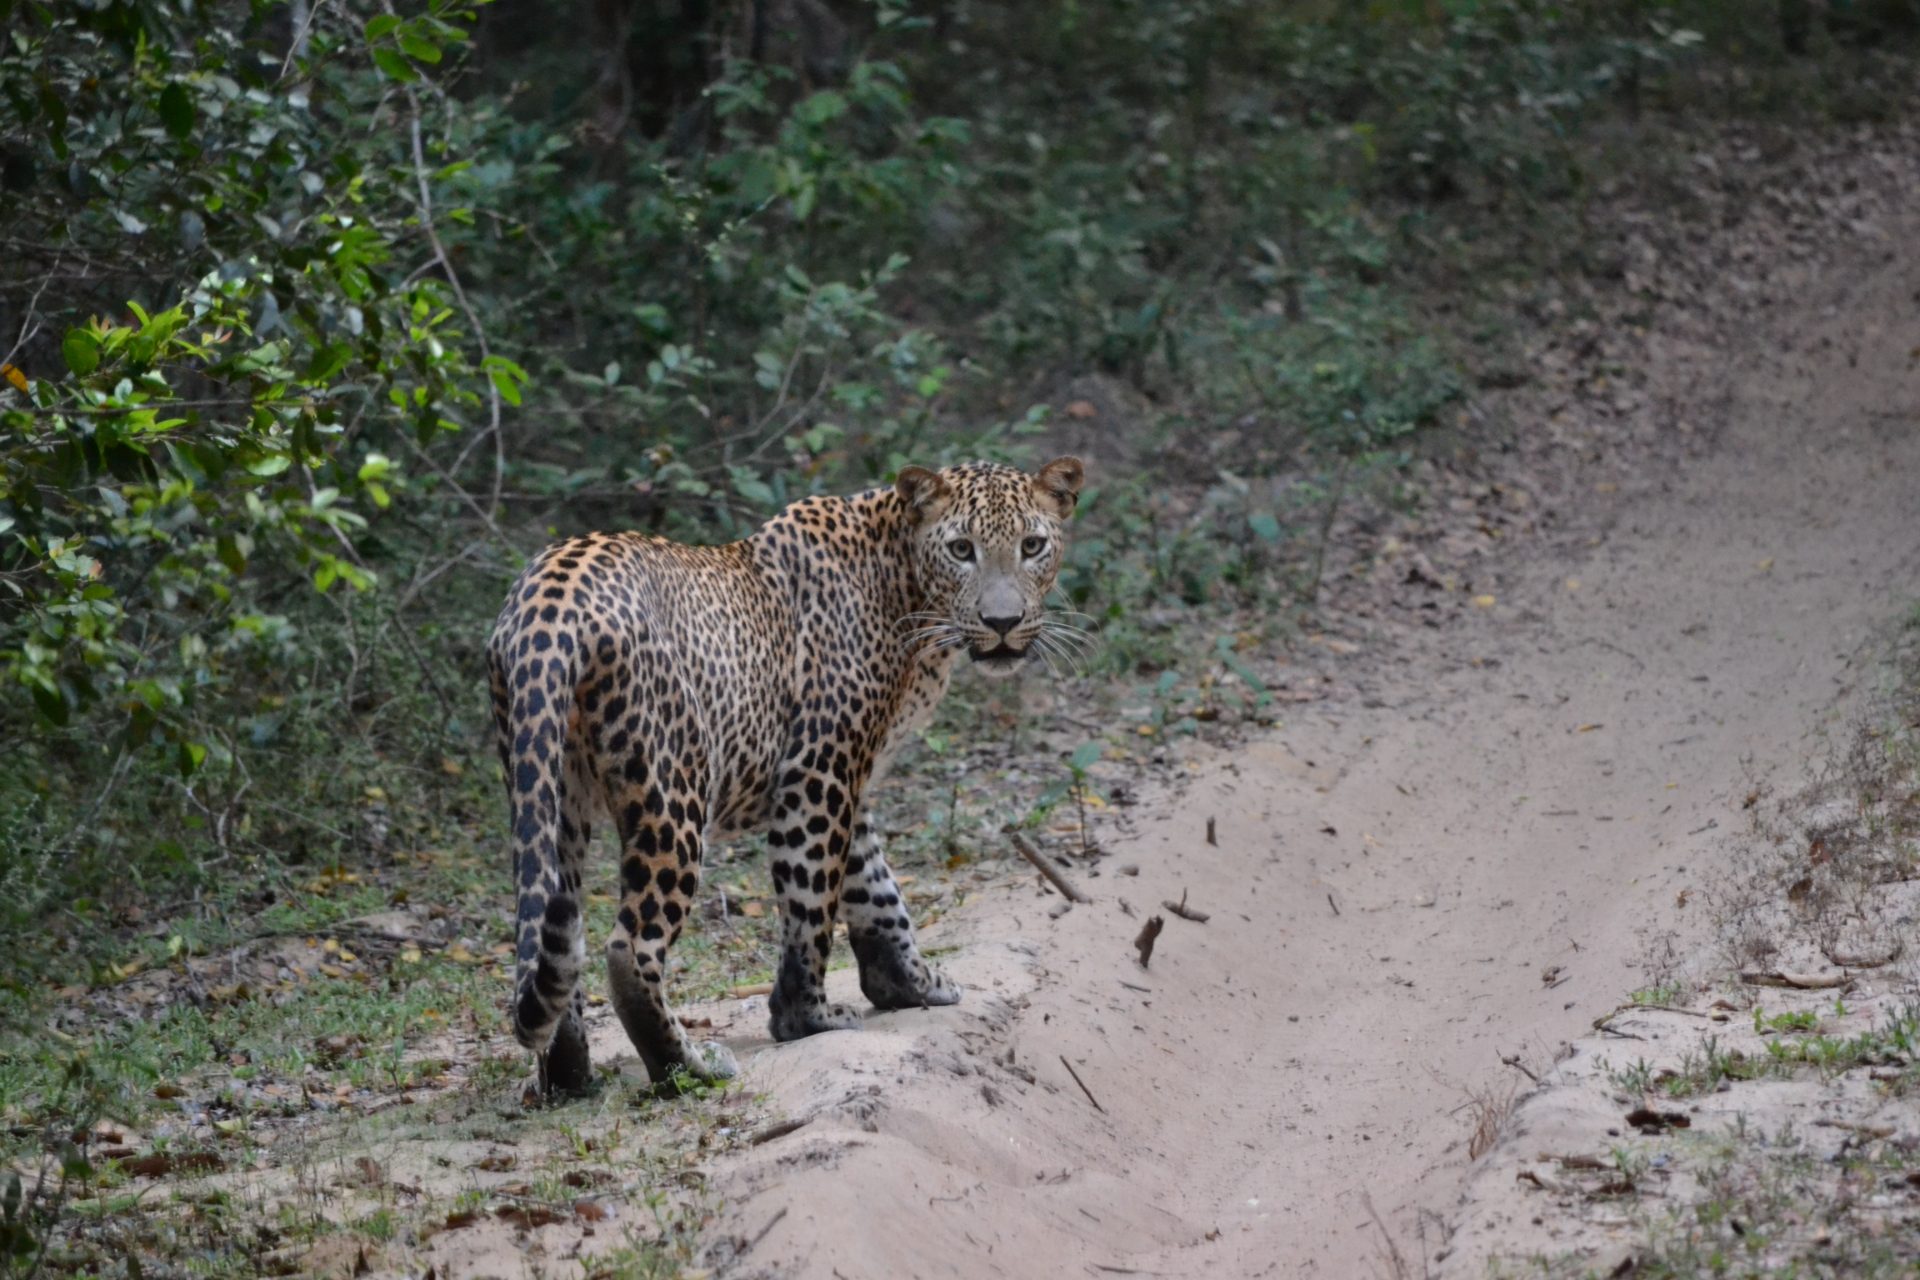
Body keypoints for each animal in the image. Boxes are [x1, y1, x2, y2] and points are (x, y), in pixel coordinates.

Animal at [486, 456, 1086, 1095]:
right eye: (961, 548)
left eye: (1031, 546)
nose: (1002, 622)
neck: (906, 587)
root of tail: (548, 603)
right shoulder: (818, 769)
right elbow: (812, 896)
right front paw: (806, 1017)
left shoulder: (851, 779)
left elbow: (876, 890)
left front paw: (909, 984)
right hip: (672, 790)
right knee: (630, 946)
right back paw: (689, 1067)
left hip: (550, 788)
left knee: (548, 930)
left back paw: (567, 1076)